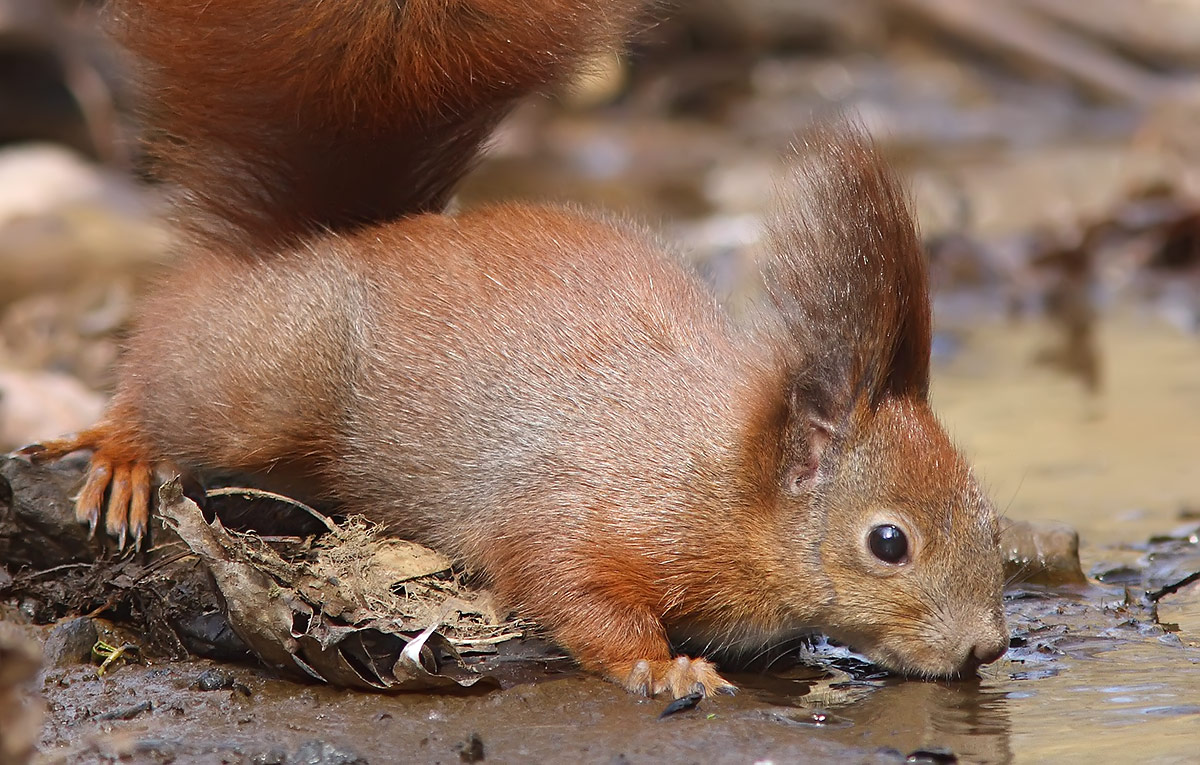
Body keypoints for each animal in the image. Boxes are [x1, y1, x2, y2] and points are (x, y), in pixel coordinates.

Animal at [23, 0, 1008, 700]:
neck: (730, 484)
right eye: (888, 542)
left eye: (989, 512)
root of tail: (328, 239)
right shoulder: (585, 512)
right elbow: (564, 583)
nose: (988, 644)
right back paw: (123, 452)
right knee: (168, 367)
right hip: (265, 391)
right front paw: (661, 666)